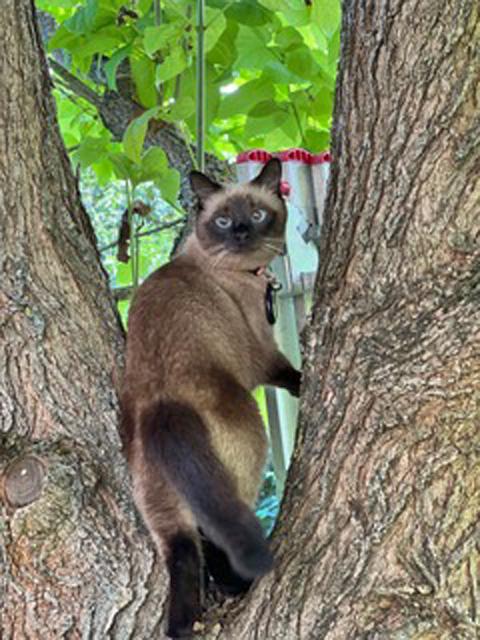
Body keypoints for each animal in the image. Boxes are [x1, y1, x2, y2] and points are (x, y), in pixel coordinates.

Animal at [120, 158, 300, 636]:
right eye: (222, 220)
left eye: (255, 214)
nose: (240, 233)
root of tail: (161, 410)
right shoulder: (261, 352)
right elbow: (287, 373)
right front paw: (306, 380)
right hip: (247, 456)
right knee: (223, 529)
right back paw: (244, 583)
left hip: (163, 511)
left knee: (187, 548)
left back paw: (185, 624)